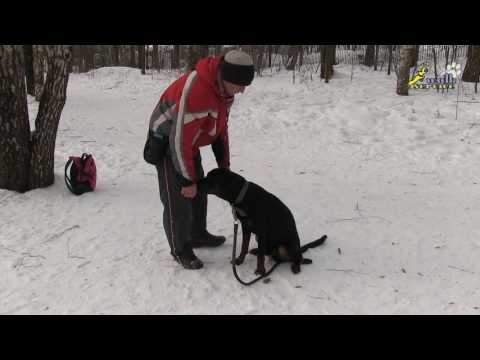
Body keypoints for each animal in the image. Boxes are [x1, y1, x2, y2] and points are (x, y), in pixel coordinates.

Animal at [197, 169, 328, 276]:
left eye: (210, 177)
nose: (196, 183)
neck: (243, 196)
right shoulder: (246, 227)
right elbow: (244, 246)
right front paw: (239, 260)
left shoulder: (261, 229)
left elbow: (260, 257)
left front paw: (260, 271)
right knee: (267, 251)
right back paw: (256, 251)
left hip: (285, 245)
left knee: (298, 258)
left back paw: (296, 266)